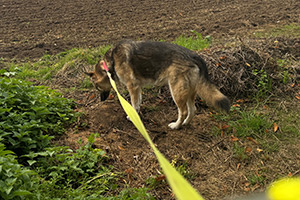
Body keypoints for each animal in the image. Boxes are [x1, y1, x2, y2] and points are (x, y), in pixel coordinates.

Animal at [85, 40, 231, 130]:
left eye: (97, 88)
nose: (101, 100)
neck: (111, 62)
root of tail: (194, 55)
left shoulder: (132, 87)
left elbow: (133, 104)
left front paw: (132, 117)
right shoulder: (137, 88)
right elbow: (138, 103)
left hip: (176, 91)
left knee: (183, 111)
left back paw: (176, 126)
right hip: (189, 91)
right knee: (192, 110)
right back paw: (184, 124)